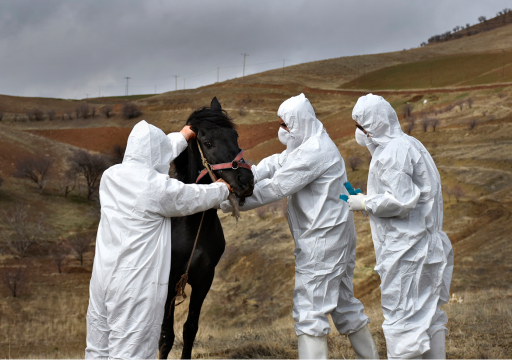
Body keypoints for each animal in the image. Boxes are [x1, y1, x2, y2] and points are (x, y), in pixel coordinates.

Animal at [158, 97, 254, 358]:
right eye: (208, 143)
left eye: (235, 136)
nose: (246, 181)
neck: (191, 225)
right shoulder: (169, 280)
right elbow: (165, 336)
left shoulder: (204, 280)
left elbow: (190, 329)